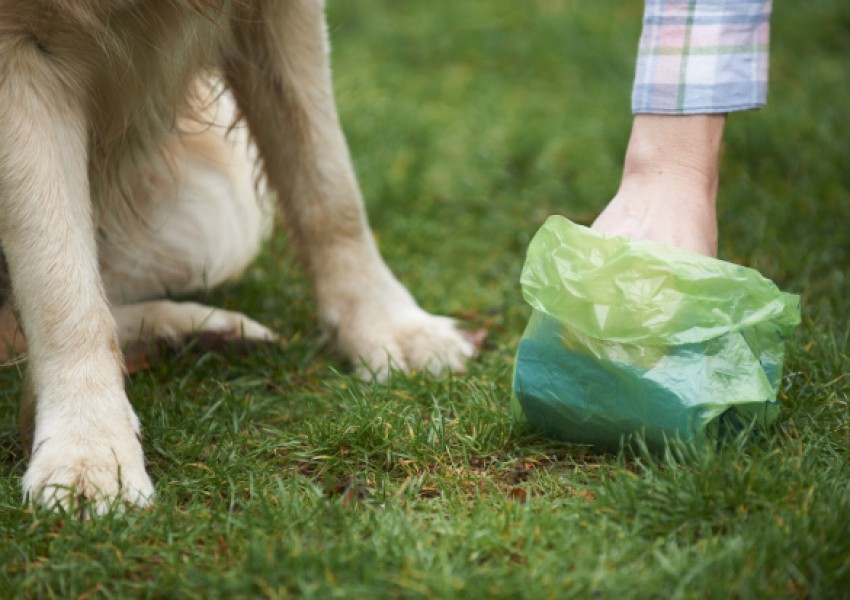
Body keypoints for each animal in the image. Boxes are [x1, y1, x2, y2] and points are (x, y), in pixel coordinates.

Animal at [0, 1, 476, 516]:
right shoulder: (16, 53)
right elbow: (60, 284)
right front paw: (88, 450)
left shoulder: (279, 18)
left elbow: (328, 184)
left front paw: (389, 327)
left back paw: (196, 332)